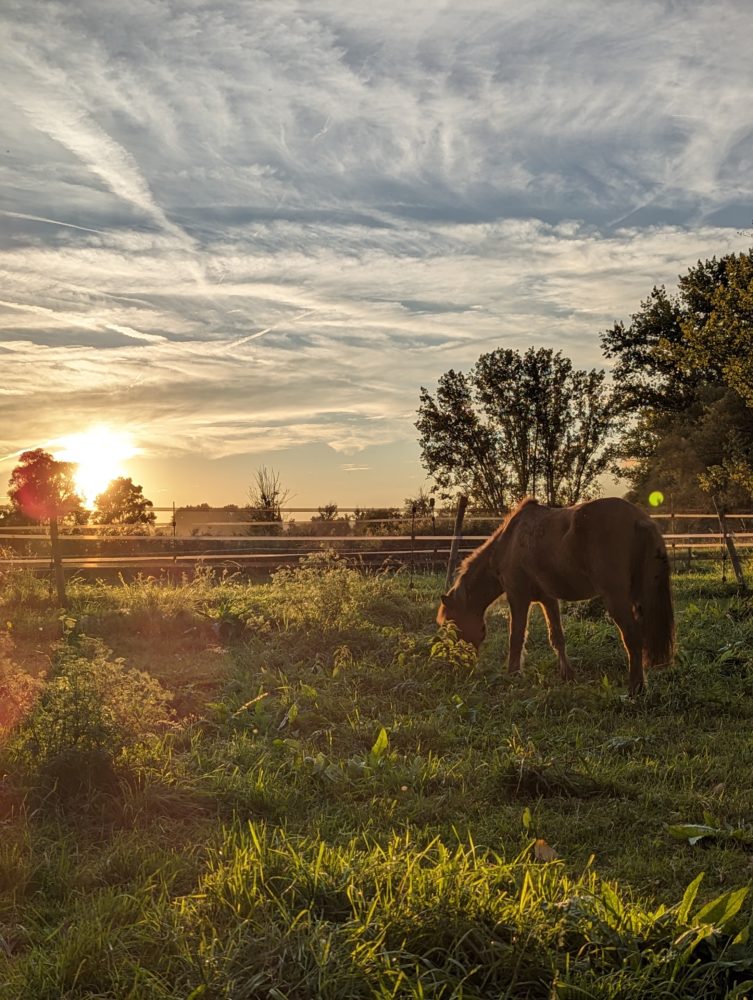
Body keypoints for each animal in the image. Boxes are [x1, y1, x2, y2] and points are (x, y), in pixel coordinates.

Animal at [438, 494, 672, 696]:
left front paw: (513, 675)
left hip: (616, 598)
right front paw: (568, 675)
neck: (509, 541)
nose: (460, 665)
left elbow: (516, 637)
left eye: (453, 624)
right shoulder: (548, 599)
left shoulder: (518, 596)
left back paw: (635, 690)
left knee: (632, 637)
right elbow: (557, 637)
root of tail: (640, 519)